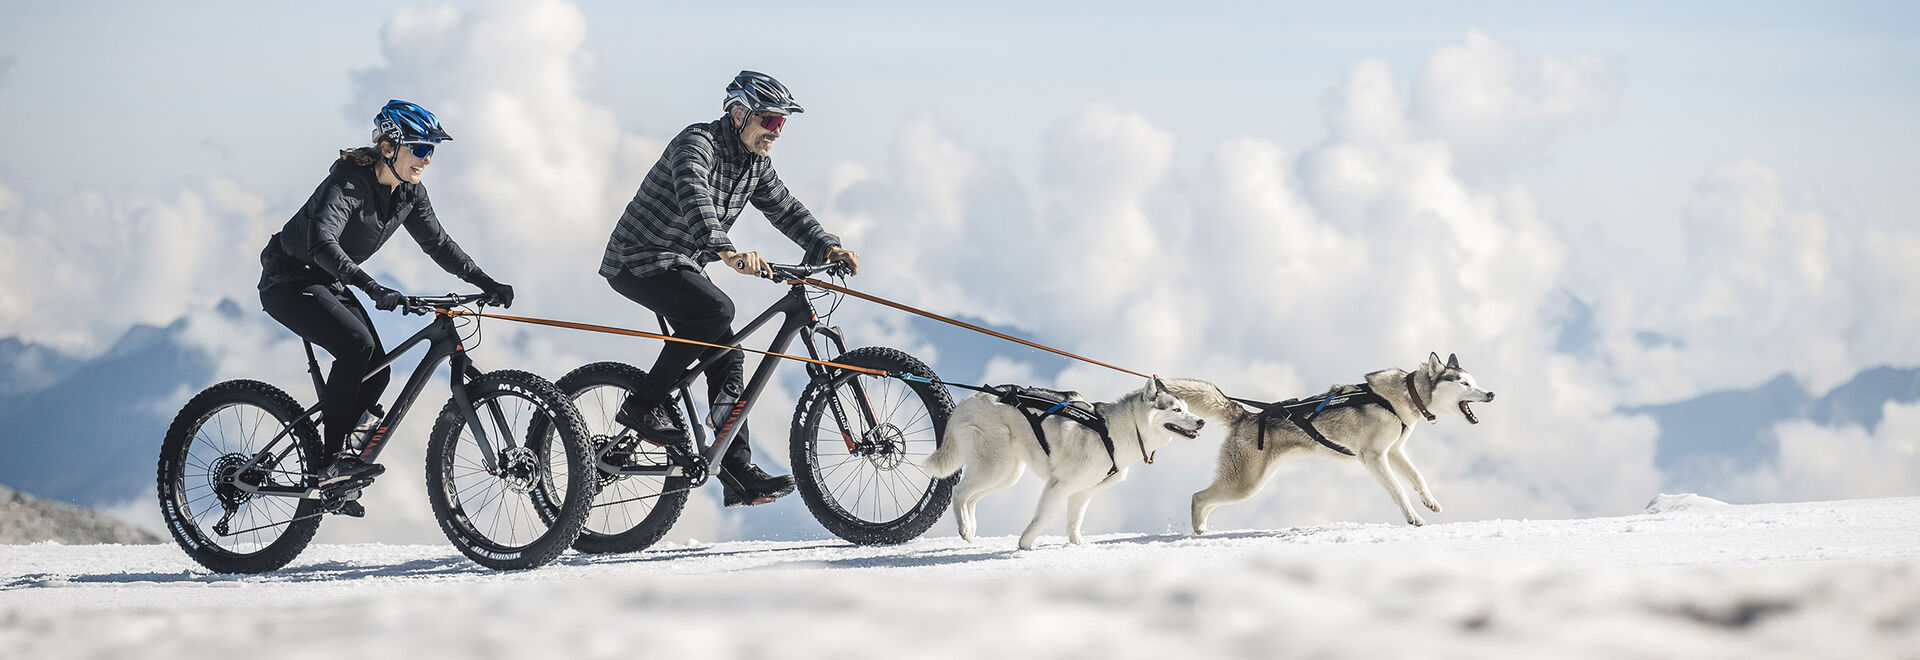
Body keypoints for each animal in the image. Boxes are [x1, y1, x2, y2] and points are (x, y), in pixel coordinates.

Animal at [925, 376, 1205, 552]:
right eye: (1177, 410)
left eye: (1187, 408)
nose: (1201, 421)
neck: (1116, 431)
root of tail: (968, 400)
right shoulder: (1059, 485)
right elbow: (1042, 518)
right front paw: (1025, 544)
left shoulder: (1082, 492)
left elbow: (1074, 522)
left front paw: (1076, 545)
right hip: (997, 467)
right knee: (959, 491)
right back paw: (965, 528)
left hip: (1006, 473)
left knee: (971, 497)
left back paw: (970, 529)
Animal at [1159, 353, 1489, 533]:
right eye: (1464, 383)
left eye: (1474, 382)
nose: (1491, 394)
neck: (1404, 397)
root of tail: (1245, 415)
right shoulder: (1373, 457)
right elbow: (1398, 490)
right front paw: (1413, 518)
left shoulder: (1394, 451)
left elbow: (1418, 478)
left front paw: (1430, 502)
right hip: (1245, 483)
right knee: (1198, 498)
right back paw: (1198, 530)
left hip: (1245, 482)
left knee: (1207, 501)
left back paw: (1203, 528)